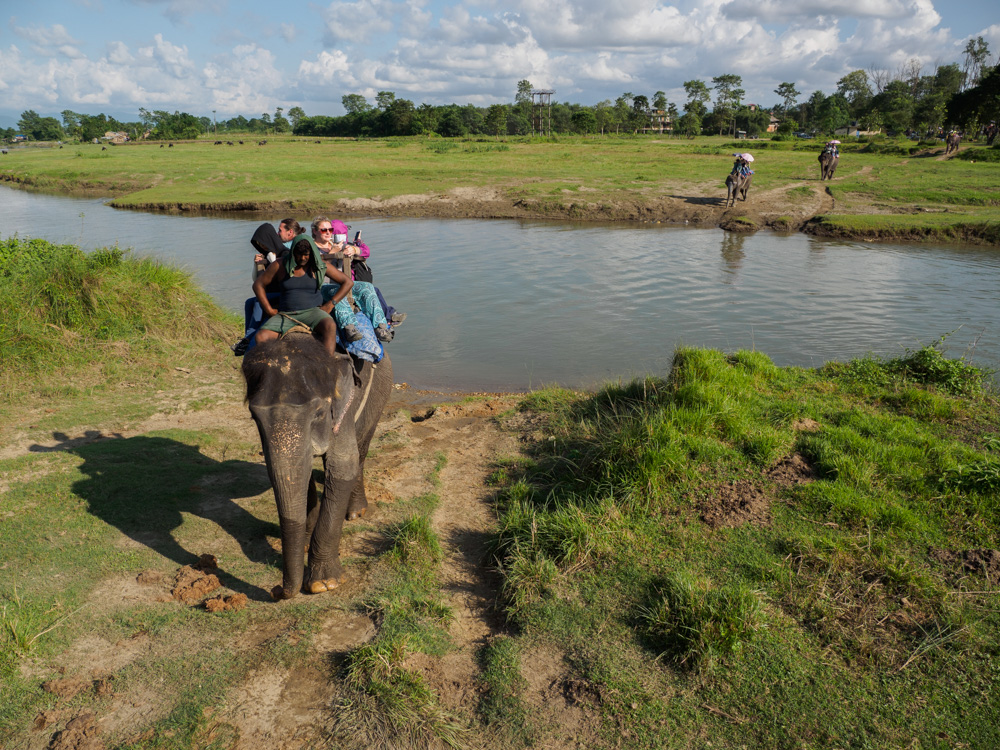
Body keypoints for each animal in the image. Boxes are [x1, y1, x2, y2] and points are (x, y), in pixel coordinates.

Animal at [244, 332, 392, 604]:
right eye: (254, 417)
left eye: (320, 413)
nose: (275, 590)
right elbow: (295, 472)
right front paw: (304, 542)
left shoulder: (343, 406)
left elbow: (342, 466)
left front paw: (323, 583)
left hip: (380, 390)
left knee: (361, 450)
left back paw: (355, 512)